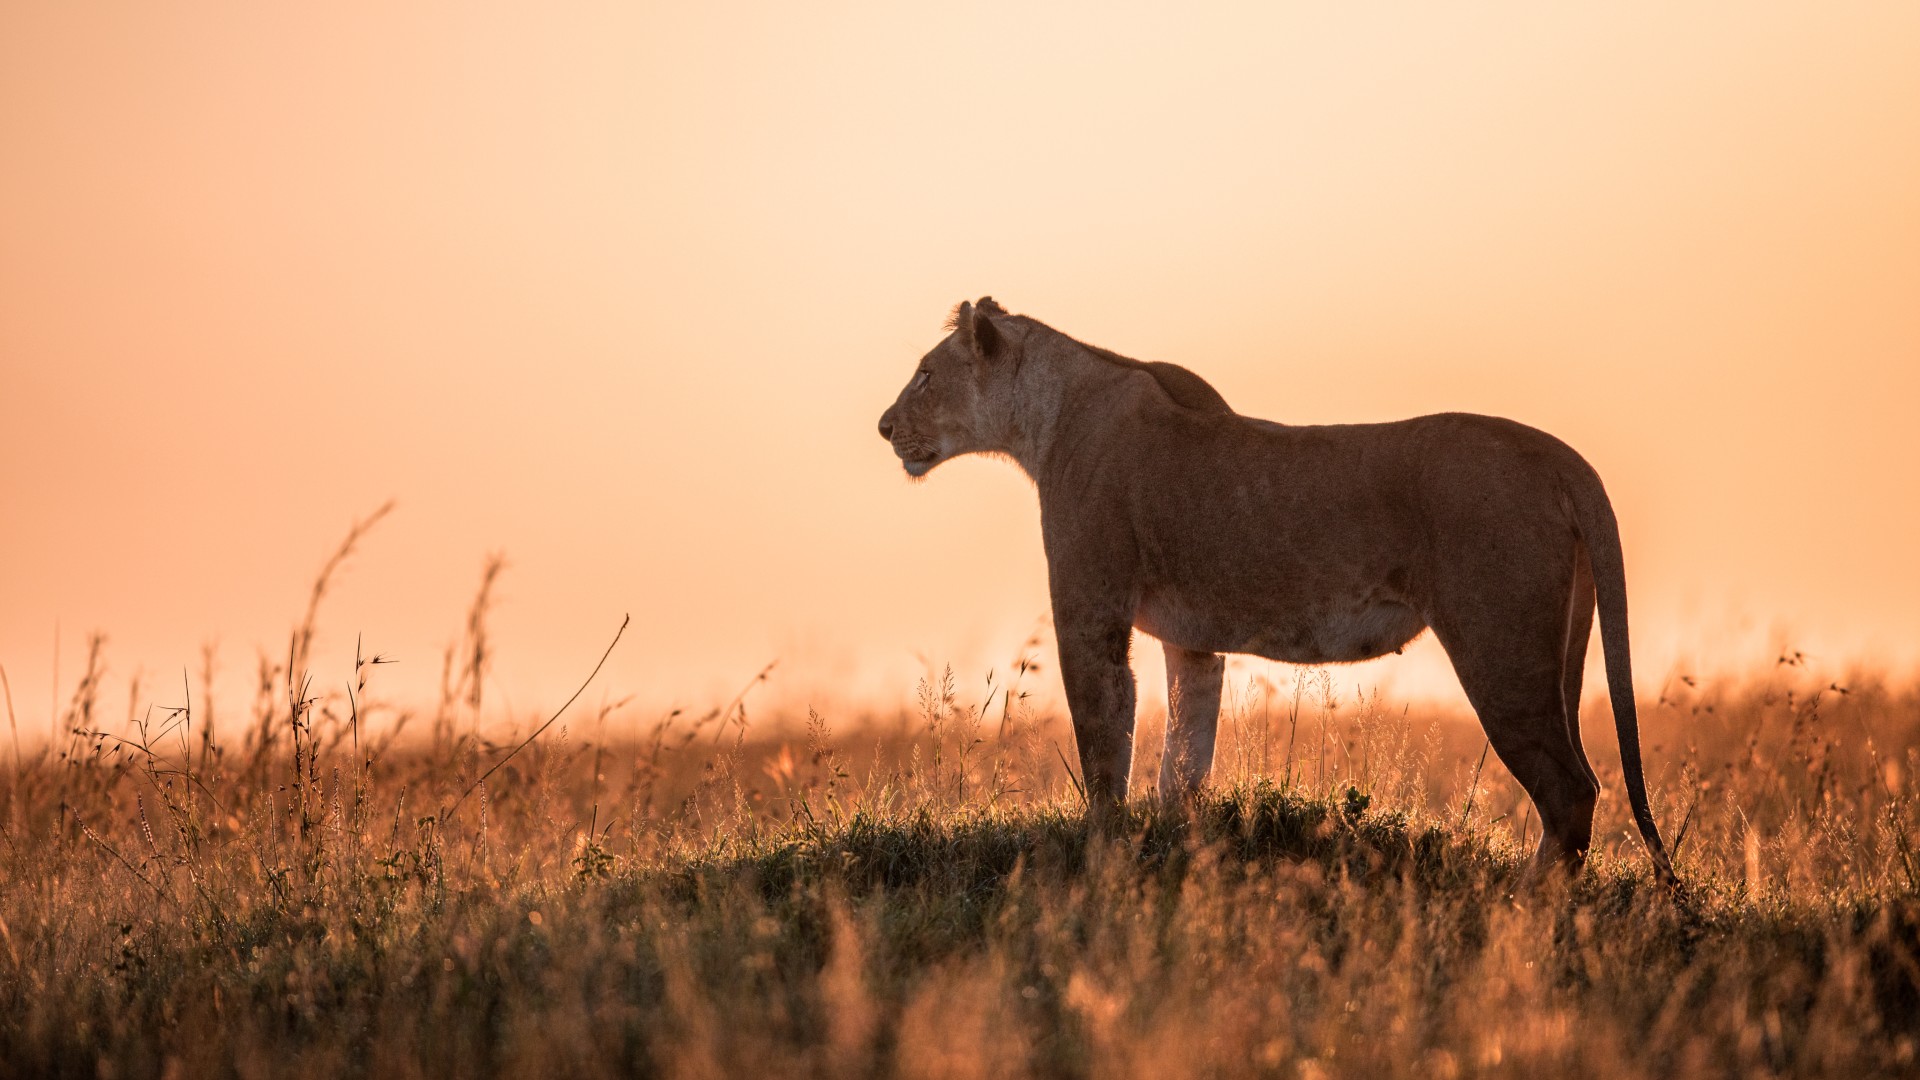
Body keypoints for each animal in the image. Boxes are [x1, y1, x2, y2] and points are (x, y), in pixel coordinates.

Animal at [878, 297, 1677, 887]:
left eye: (925, 375)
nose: (884, 426)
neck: (1045, 418)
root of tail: (1562, 456)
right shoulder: (1193, 642)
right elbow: (1184, 756)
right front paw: (1174, 844)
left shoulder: (1090, 613)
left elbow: (1105, 742)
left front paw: (1103, 852)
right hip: (1559, 647)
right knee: (1578, 785)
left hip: (1499, 649)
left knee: (1571, 792)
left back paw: (1523, 905)